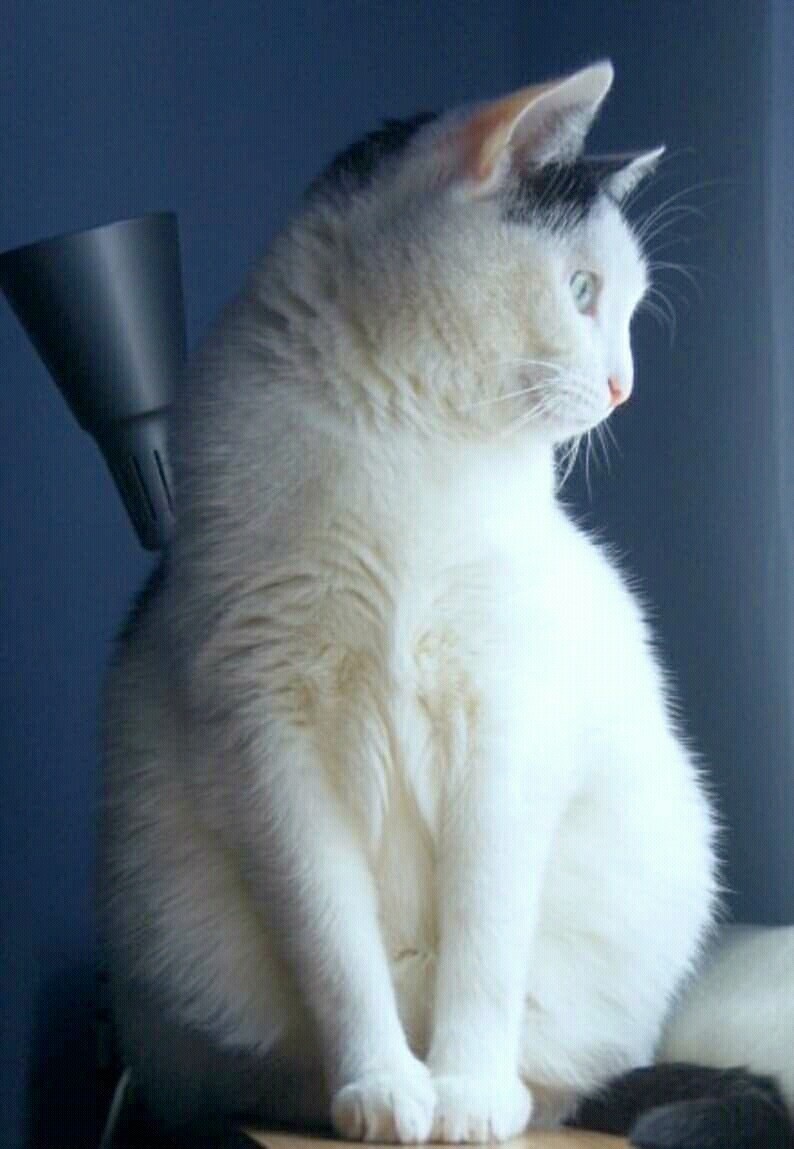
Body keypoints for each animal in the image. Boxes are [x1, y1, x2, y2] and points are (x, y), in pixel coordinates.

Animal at [98, 61, 723, 1143]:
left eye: (626, 306)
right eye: (582, 291)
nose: (623, 388)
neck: (411, 437)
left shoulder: (507, 728)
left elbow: (485, 938)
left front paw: (466, 1091)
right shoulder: (269, 746)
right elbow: (334, 949)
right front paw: (382, 1088)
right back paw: (310, 1098)